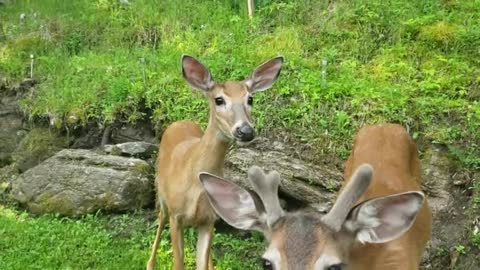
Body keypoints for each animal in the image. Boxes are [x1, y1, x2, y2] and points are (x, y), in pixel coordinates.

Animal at [146, 54, 284, 270]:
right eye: (219, 100)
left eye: (250, 98)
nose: (246, 131)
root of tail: (179, 121)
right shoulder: (176, 217)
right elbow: (179, 263)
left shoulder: (208, 220)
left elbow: (201, 263)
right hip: (161, 193)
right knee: (160, 219)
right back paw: (150, 264)